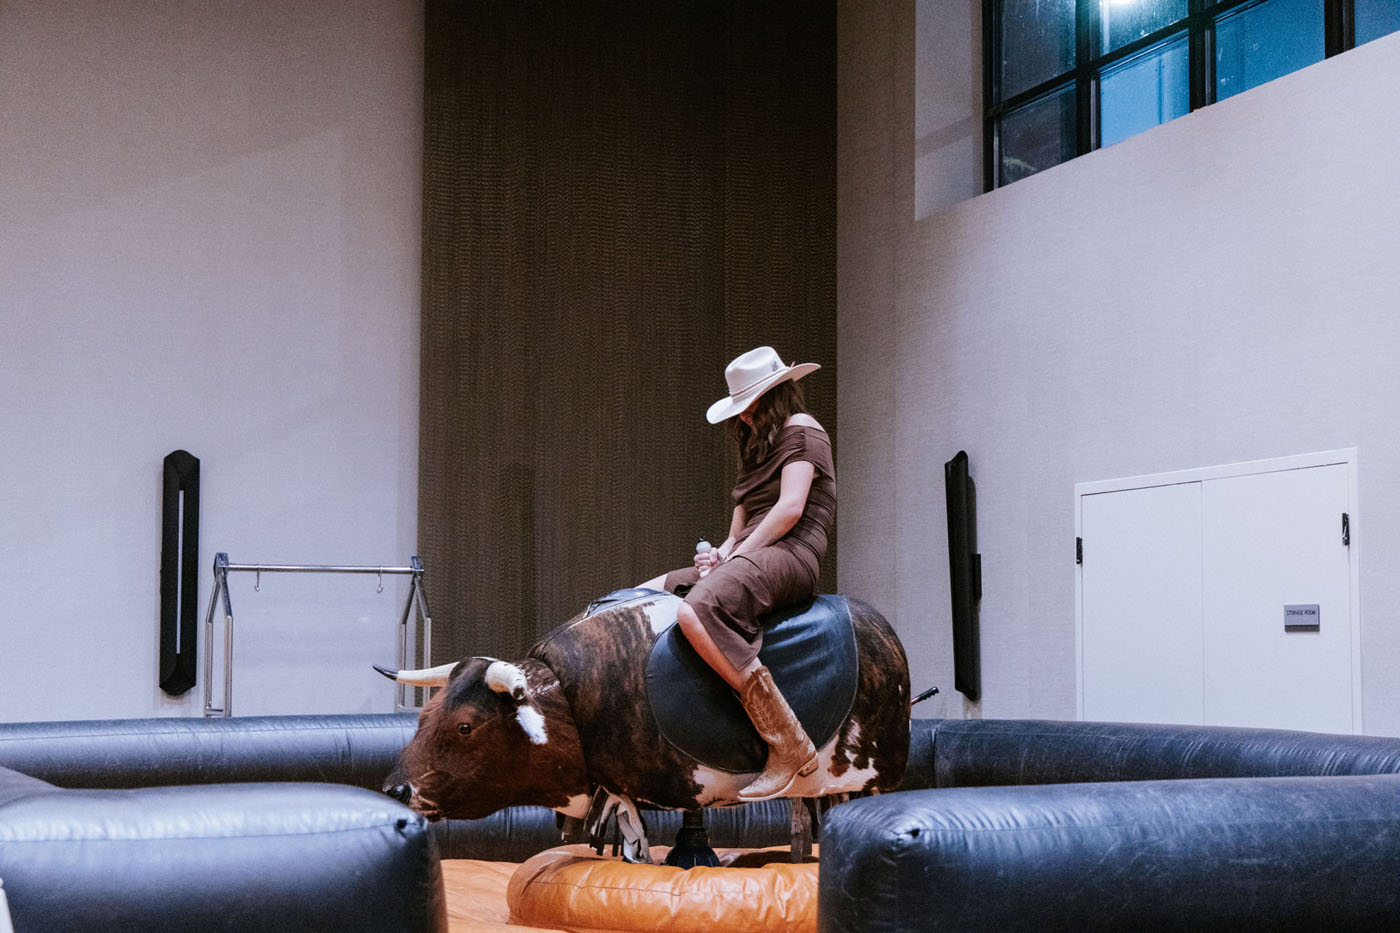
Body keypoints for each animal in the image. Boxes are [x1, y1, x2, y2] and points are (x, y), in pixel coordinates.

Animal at [377, 587, 911, 861]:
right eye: (425, 715)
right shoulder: (621, 793)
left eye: (466, 726)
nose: (396, 789)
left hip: (875, 777)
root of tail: (881, 629)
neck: (567, 701)